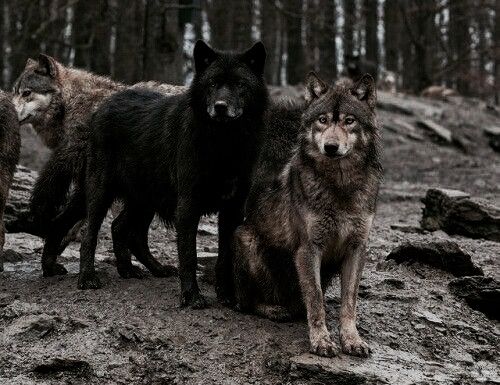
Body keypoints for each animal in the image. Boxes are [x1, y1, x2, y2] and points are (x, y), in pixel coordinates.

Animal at [232, 73, 380, 356]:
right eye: (323, 120)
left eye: (349, 120)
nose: (331, 147)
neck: (340, 186)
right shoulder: (309, 249)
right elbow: (315, 298)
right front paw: (321, 340)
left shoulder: (357, 248)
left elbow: (349, 303)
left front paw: (352, 340)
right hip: (246, 238)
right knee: (246, 302)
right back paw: (275, 309)